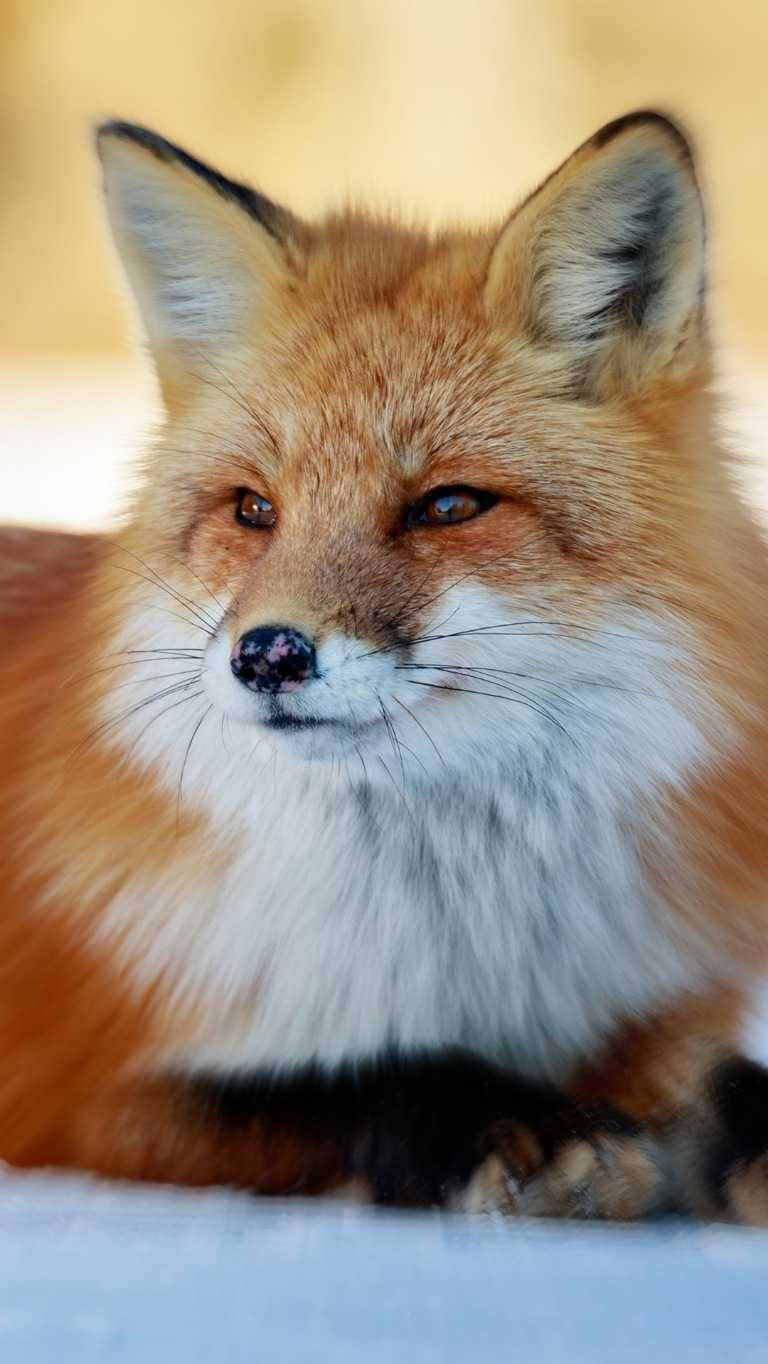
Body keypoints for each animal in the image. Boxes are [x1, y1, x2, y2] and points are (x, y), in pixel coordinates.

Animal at [2, 109, 768, 1221]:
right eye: (254, 509)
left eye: (446, 505)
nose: (267, 654)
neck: (458, 945)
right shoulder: (74, 1094)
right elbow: (352, 1082)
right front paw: (516, 1120)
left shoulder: (652, 1006)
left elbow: (725, 1084)